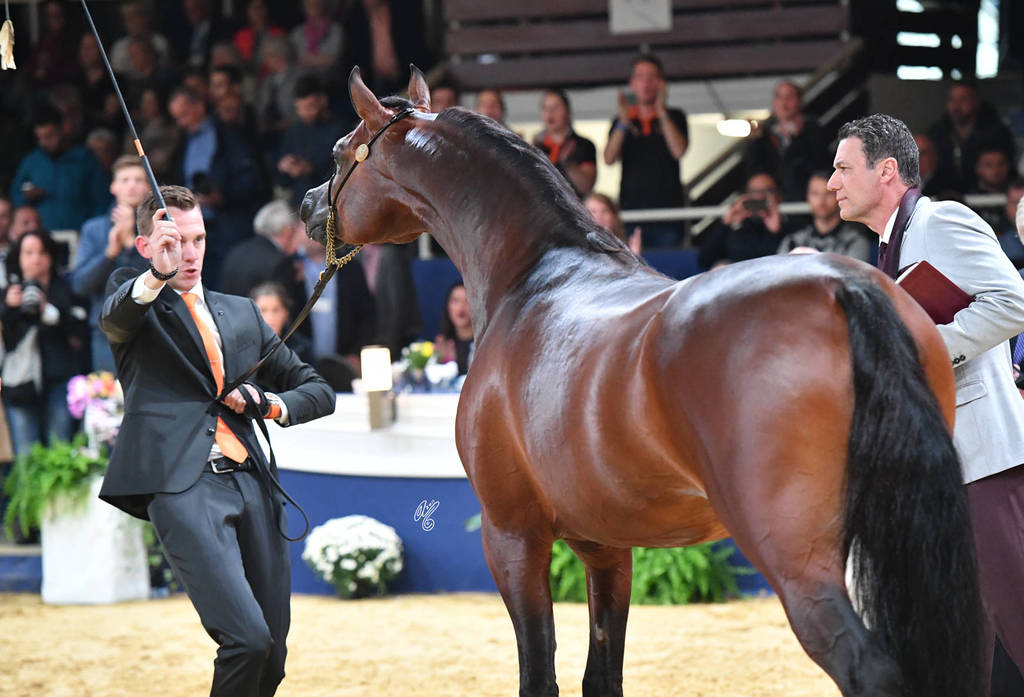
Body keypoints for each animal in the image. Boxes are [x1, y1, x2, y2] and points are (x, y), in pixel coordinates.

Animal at [300, 67, 984, 697]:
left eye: (338, 152)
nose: (308, 207)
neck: (534, 276)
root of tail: (844, 288)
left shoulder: (513, 536)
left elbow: (539, 673)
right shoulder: (606, 545)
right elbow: (601, 675)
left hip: (796, 559)